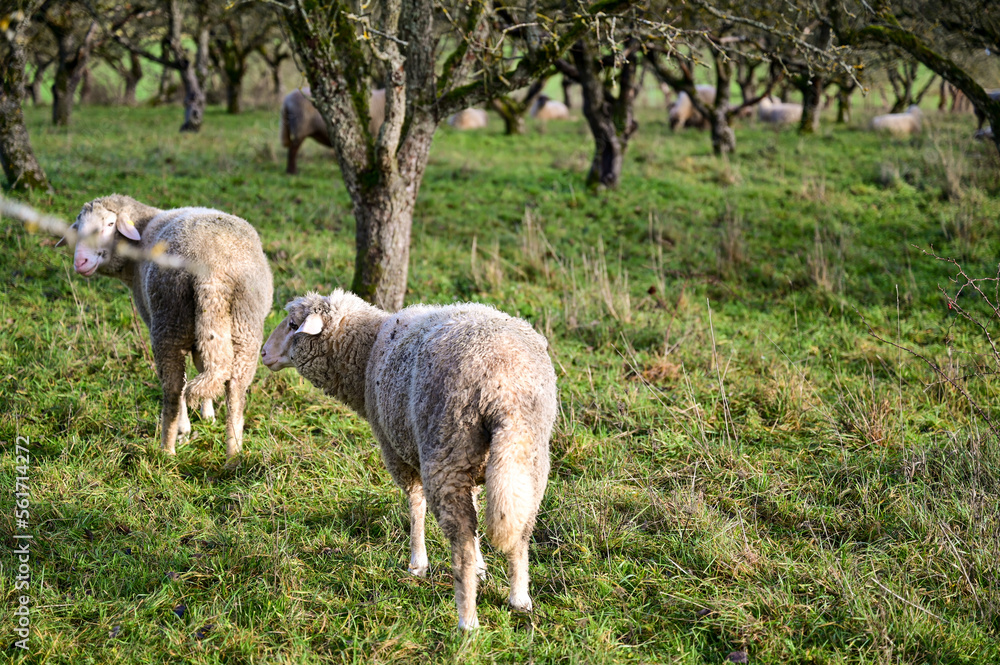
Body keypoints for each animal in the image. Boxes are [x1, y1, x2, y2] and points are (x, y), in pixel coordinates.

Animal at [66, 194, 273, 460]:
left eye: (110, 224)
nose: (80, 262)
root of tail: (211, 271)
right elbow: (205, 365)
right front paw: (208, 413)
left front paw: (193, 423)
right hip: (244, 328)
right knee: (235, 390)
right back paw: (233, 455)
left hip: (168, 322)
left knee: (175, 388)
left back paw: (169, 448)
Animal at [261, 290, 557, 630]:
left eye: (292, 325)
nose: (264, 353)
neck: (366, 351)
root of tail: (503, 389)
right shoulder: (476, 465)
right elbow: (478, 506)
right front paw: (483, 567)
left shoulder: (397, 450)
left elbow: (416, 505)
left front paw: (418, 563)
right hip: (524, 457)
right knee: (520, 531)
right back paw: (519, 599)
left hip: (445, 451)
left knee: (461, 543)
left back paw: (467, 621)